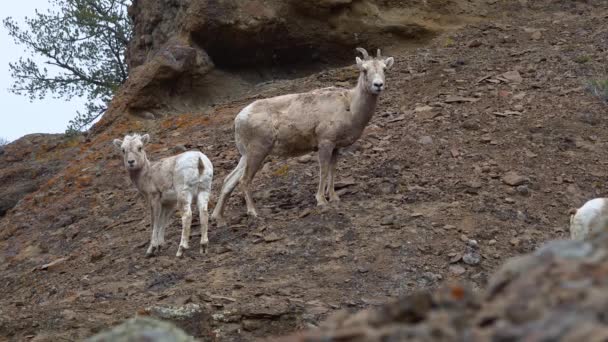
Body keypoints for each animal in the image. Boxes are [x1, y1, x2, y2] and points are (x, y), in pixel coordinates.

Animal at [213, 46, 394, 226]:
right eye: (364, 70)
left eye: (384, 69)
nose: (378, 85)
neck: (350, 106)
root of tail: (239, 118)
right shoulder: (325, 143)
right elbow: (323, 170)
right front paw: (321, 201)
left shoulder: (335, 147)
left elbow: (332, 170)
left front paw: (334, 198)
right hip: (258, 152)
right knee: (244, 180)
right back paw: (254, 213)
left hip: (246, 155)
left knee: (229, 181)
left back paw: (219, 218)